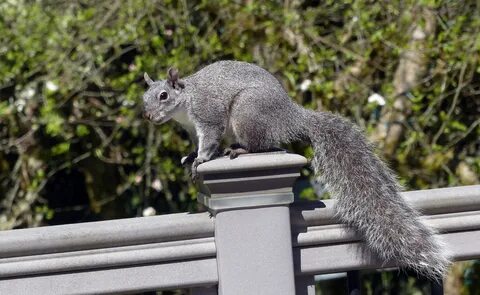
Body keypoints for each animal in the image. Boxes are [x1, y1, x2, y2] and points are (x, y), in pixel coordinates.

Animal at [142, 60, 450, 280]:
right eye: (145, 97)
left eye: (163, 95)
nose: (147, 115)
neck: (186, 104)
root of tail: (291, 118)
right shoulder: (191, 129)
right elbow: (198, 144)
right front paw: (191, 156)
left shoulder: (209, 116)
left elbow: (210, 139)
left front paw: (201, 160)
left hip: (247, 112)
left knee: (264, 144)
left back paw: (241, 149)